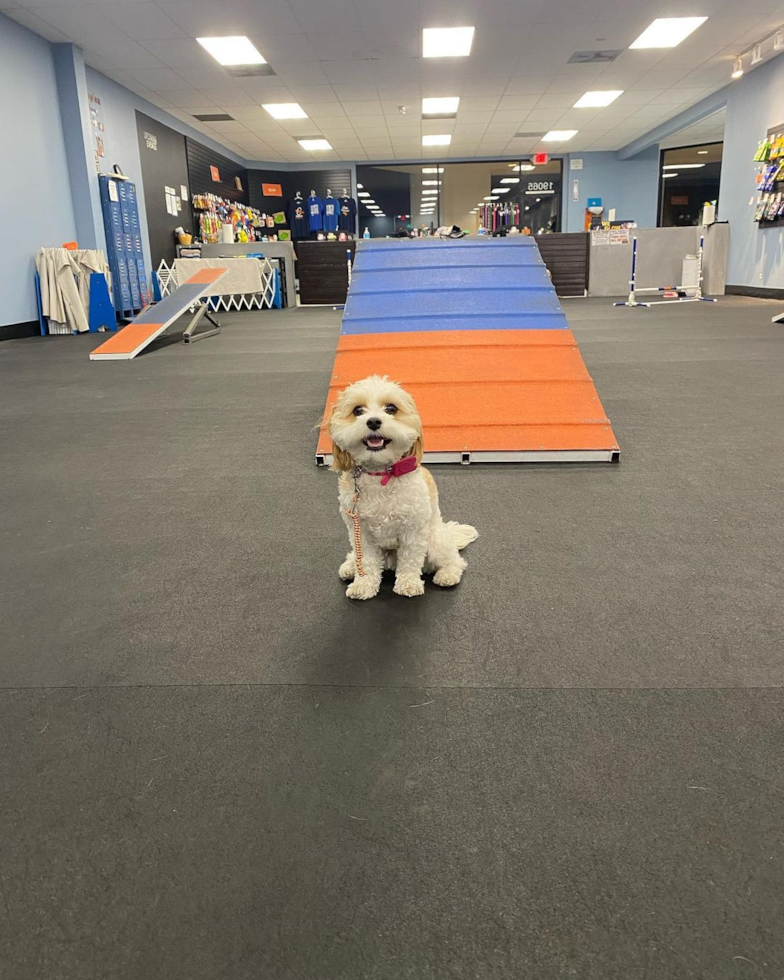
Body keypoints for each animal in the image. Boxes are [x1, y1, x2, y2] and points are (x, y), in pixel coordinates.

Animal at [326, 376, 478, 600]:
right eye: (357, 410)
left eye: (391, 408)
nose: (373, 421)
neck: (381, 473)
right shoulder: (361, 531)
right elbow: (367, 562)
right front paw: (364, 584)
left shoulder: (412, 529)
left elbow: (410, 560)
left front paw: (408, 585)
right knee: (358, 556)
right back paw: (351, 566)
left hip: (434, 541)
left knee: (455, 561)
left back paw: (447, 575)